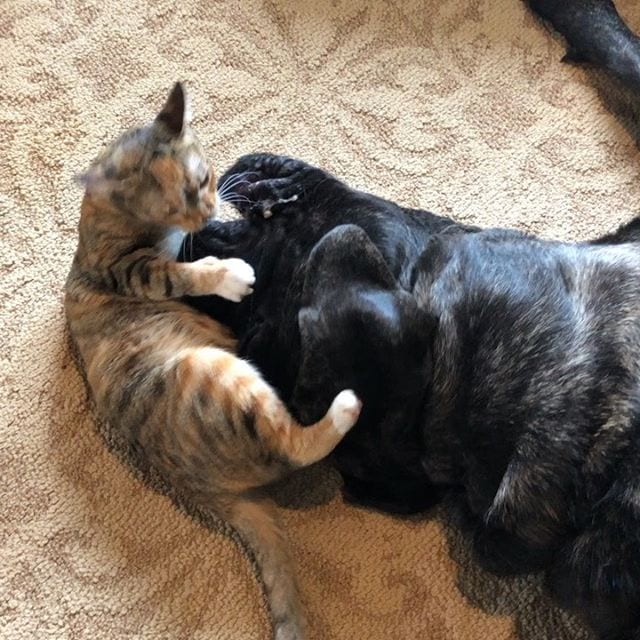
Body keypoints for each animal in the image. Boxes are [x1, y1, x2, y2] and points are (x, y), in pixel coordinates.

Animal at [66, 85, 364, 640]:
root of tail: (204, 489)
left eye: (204, 180)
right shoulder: (124, 267)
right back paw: (344, 406)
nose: (206, 212)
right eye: (174, 203)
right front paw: (228, 273)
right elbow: (180, 272)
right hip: (216, 374)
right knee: (294, 446)